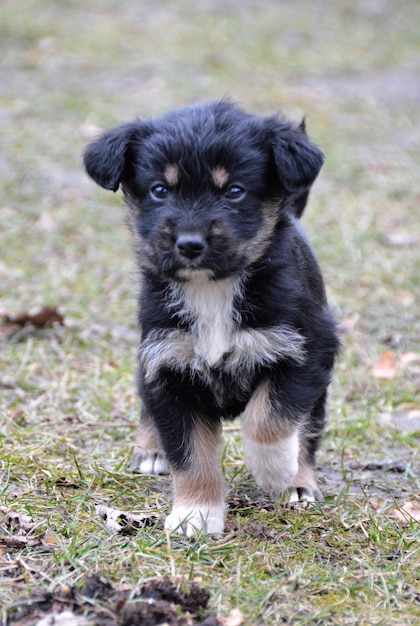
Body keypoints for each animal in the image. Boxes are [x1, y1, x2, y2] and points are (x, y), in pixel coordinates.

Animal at [83, 100, 340, 532]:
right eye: (159, 190)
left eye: (234, 191)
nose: (189, 244)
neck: (211, 289)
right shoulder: (167, 366)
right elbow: (189, 454)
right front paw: (195, 514)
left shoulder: (306, 351)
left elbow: (268, 419)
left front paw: (275, 470)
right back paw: (151, 450)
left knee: (307, 429)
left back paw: (299, 481)